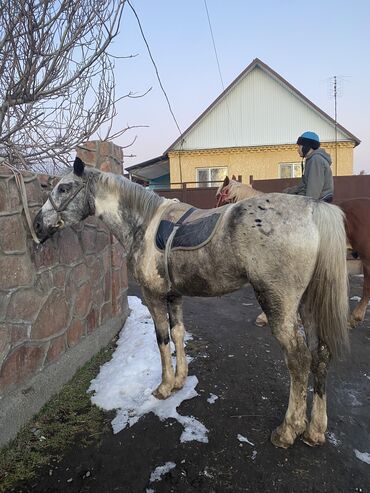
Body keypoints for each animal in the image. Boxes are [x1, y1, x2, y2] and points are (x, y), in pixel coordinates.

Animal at [32, 159, 350, 450]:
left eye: (64, 188)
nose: (36, 225)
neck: (143, 224)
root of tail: (313, 210)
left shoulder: (153, 296)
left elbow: (162, 339)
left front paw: (163, 387)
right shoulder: (174, 296)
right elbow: (178, 334)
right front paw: (180, 380)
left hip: (280, 307)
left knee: (299, 360)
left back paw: (288, 430)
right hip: (308, 306)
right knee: (320, 354)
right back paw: (315, 430)